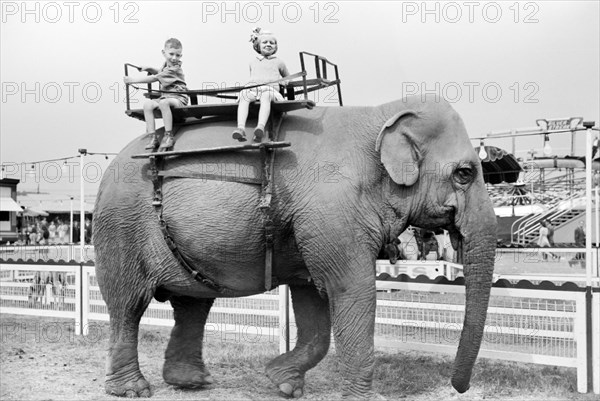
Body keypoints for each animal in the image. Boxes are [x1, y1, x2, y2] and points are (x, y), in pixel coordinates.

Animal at [95, 96, 496, 396]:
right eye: (465, 173)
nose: (458, 386)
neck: (379, 113)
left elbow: (312, 295)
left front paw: (282, 382)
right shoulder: (332, 209)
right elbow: (351, 288)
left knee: (193, 304)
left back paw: (192, 382)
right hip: (121, 227)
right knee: (128, 304)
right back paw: (132, 389)